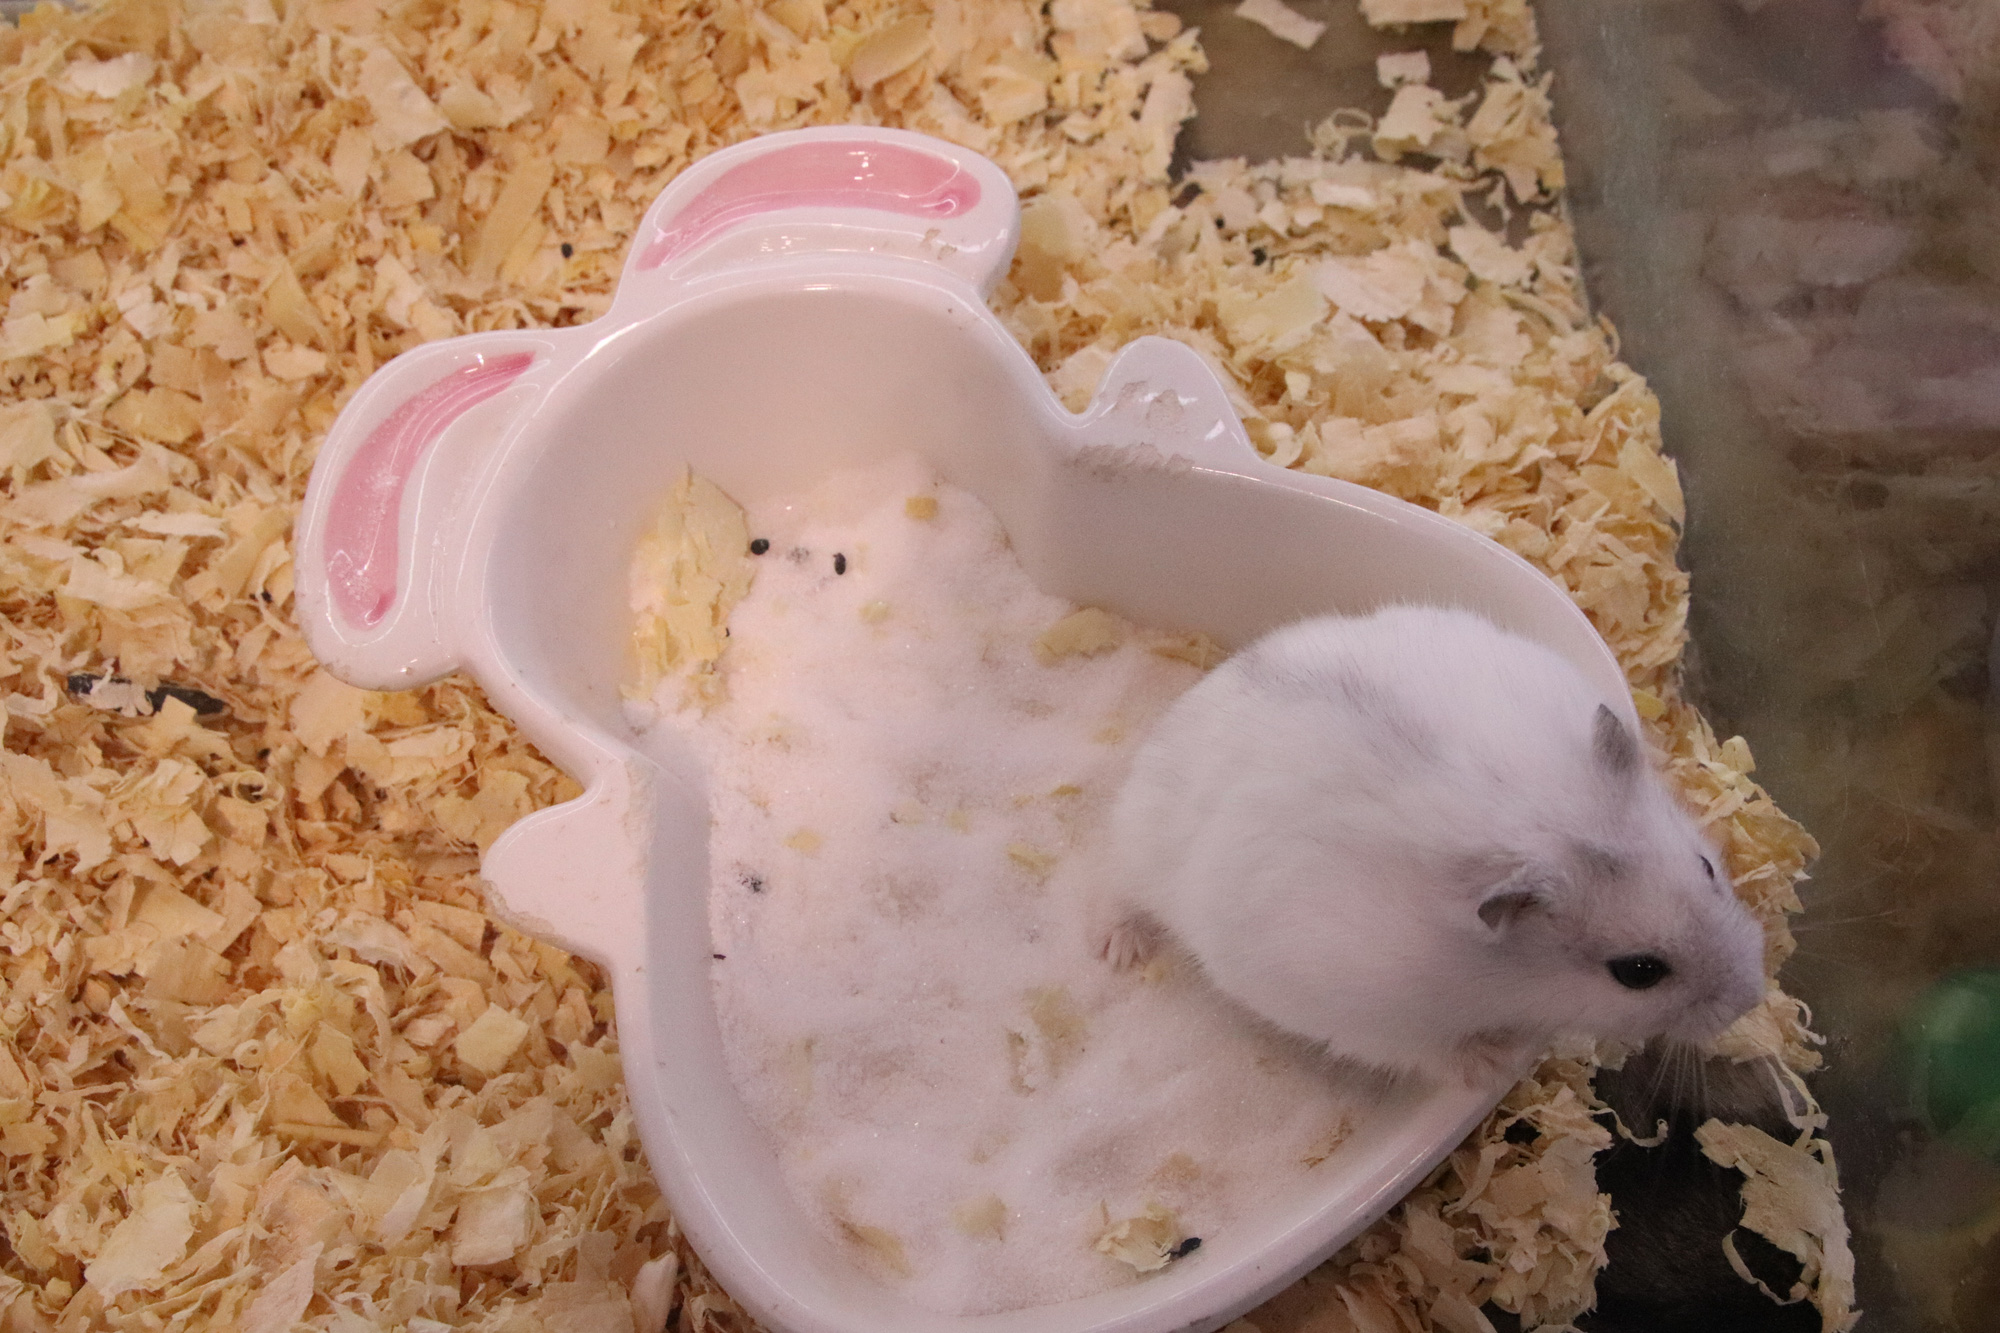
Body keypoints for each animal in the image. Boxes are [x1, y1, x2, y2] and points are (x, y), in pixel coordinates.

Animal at [1102, 605, 1766, 1089]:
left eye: (1708, 866)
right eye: (1638, 972)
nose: (1751, 998)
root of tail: (1197, 699)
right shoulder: (1363, 1011)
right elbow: (1433, 1053)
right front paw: (1494, 1065)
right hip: (1139, 841)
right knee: (1120, 892)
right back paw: (1121, 952)